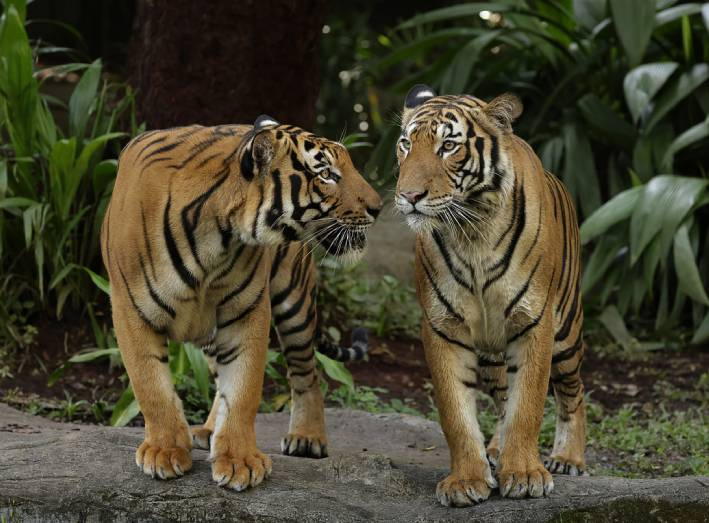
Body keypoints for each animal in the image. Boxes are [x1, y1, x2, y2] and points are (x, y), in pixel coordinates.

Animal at [99, 113, 382, 492]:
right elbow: (152, 386)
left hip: (293, 301)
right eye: (326, 174)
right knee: (221, 379)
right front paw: (166, 451)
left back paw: (307, 437)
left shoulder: (247, 310)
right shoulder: (131, 311)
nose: (378, 207)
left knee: (306, 372)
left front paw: (239, 461)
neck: (217, 236)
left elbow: (243, 389)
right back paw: (207, 430)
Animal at [392, 86, 588, 508]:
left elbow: (527, 403)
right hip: (491, 348)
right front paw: (466, 480)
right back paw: (497, 450)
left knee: (573, 392)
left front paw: (527, 475)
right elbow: (457, 414)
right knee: (501, 398)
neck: (472, 230)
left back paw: (568, 458)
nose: (408, 195)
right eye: (406, 145)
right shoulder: (442, 326)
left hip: (566, 333)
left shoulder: (535, 321)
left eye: (448, 146)